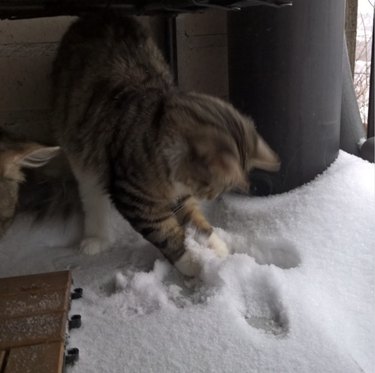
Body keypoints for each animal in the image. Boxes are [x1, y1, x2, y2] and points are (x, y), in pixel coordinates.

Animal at [52, 15, 280, 276]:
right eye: (210, 189)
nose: (209, 197)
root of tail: (97, 16)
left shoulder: (180, 194)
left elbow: (196, 221)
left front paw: (217, 248)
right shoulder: (132, 196)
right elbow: (166, 233)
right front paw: (193, 265)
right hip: (79, 147)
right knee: (90, 192)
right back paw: (95, 238)